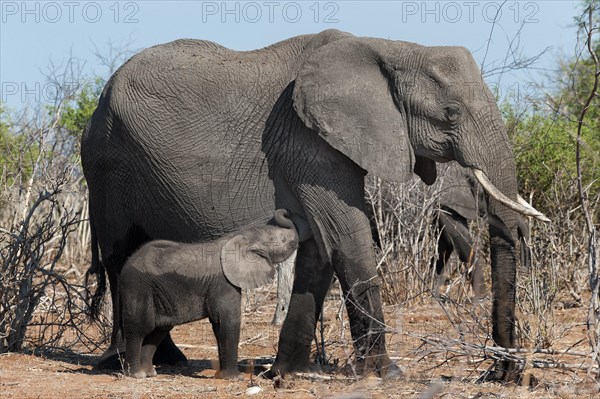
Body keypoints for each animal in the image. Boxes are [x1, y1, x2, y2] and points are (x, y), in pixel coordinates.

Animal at [119, 209, 300, 378]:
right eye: (283, 240)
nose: (284, 211)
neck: (241, 237)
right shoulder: (223, 282)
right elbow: (228, 320)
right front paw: (235, 378)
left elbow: (219, 324)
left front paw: (222, 376)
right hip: (138, 286)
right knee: (139, 328)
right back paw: (136, 374)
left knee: (160, 328)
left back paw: (150, 373)